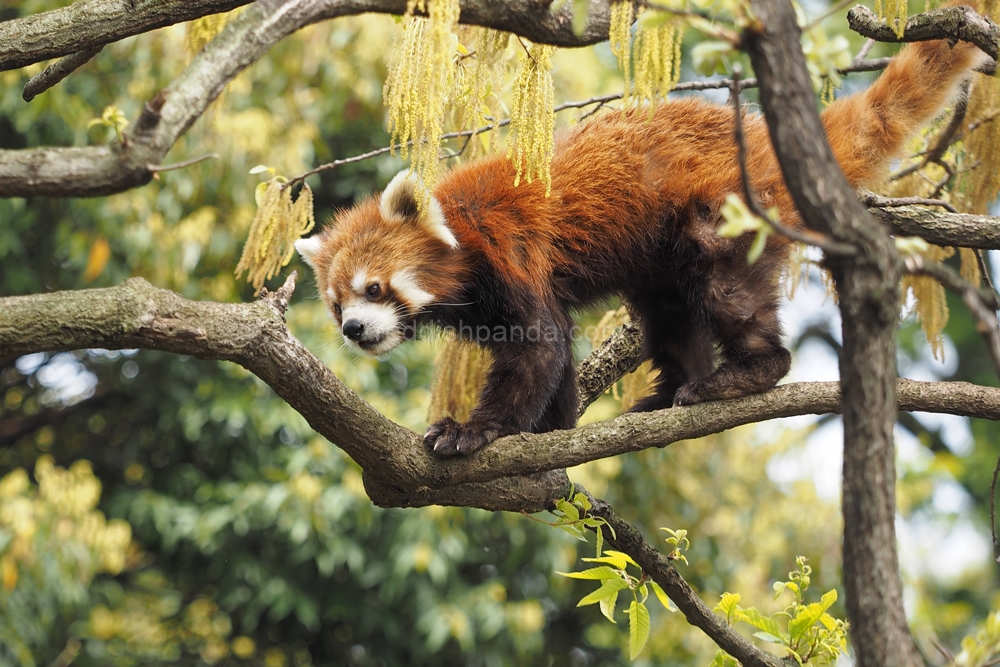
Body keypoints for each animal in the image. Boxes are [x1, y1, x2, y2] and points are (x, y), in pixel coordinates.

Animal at [292, 28, 988, 456]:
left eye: (374, 288)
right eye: (336, 304)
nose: (354, 329)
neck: (461, 235)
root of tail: (760, 136)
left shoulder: (511, 255)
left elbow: (537, 347)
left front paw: (473, 431)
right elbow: (552, 356)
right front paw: (554, 426)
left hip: (723, 210)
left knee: (729, 295)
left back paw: (745, 373)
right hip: (656, 257)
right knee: (669, 315)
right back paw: (665, 395)